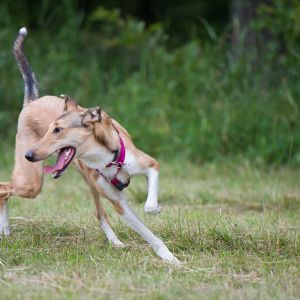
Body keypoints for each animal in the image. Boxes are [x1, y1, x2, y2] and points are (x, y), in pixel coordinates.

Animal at [0, 27, 180, 264]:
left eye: (58, 130)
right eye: (48, 129)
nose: (28, 155)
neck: (107, 158)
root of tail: (31, 101)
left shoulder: (150, 165)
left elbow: (149, 204)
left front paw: (158, 218)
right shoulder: (118, 202)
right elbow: (147, 232)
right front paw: (170, 258)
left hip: (88, 184)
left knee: (98, 213)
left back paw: (115, 242)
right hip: (31, 184)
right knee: (3, 189)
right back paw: (5, 228)